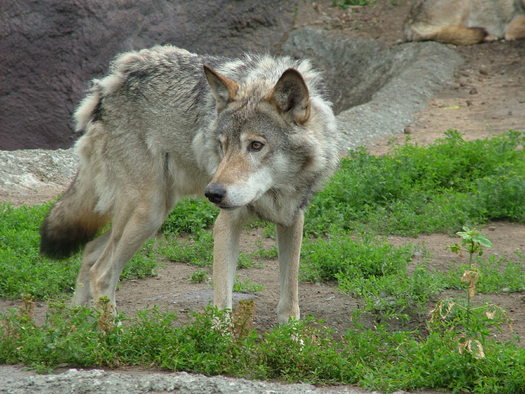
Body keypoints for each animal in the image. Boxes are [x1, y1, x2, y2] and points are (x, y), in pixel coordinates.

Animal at [40, 45, 340, 324]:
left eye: (256, 145)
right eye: (222, 145)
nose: (213, 193)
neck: (276, 190)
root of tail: (109, 81)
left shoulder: (292, 219)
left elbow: (290, 301)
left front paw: (294, 341)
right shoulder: (226, 223)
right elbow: (222, 304)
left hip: (152, 214)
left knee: (90, 252)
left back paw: (77, 325)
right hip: (148, 214)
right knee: (101, 274)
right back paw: (113, 334)